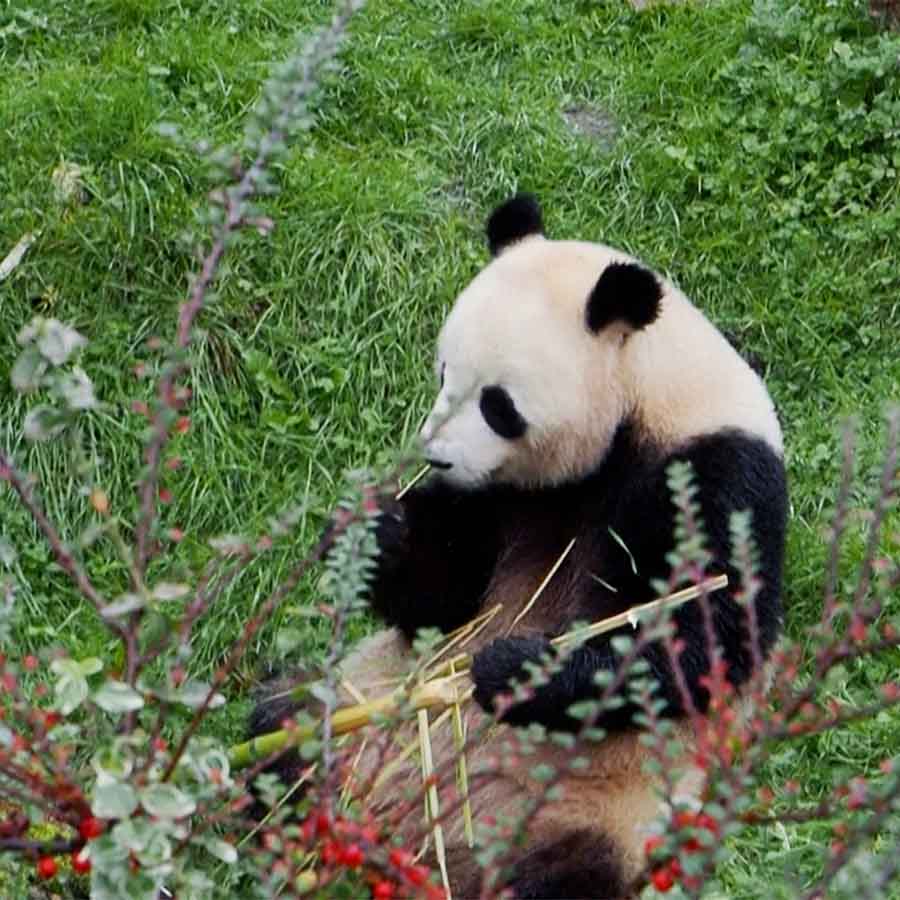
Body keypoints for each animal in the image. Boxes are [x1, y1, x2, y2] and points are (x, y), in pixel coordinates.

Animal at [248, 194, 789, 899]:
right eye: (444, 373)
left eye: (499, 404)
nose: (435, 458)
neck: (641, 400)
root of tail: (414, 841)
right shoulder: (498, 498)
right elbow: (441, 600)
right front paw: (372, 532)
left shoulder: (713, 472)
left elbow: (707, 637)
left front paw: (517, 668)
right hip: (354, 703)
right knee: (280, 719)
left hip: (594, 814)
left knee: (568, 878)